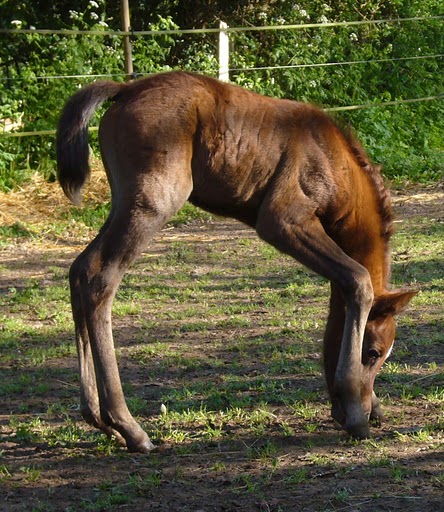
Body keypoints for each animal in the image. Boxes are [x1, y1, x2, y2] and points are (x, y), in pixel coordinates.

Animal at [56, 72, 416, 452]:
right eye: (373, 352)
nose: (366, 407)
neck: (333, 158)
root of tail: (126, 89)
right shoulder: (283, 221)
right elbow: (358, 280)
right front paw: (357, 414)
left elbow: (342, 297)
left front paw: (362, 405)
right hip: (152, 203)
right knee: (99, 278)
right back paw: (128, 426)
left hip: (123, 204)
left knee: (80, 270)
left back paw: (98, 419)